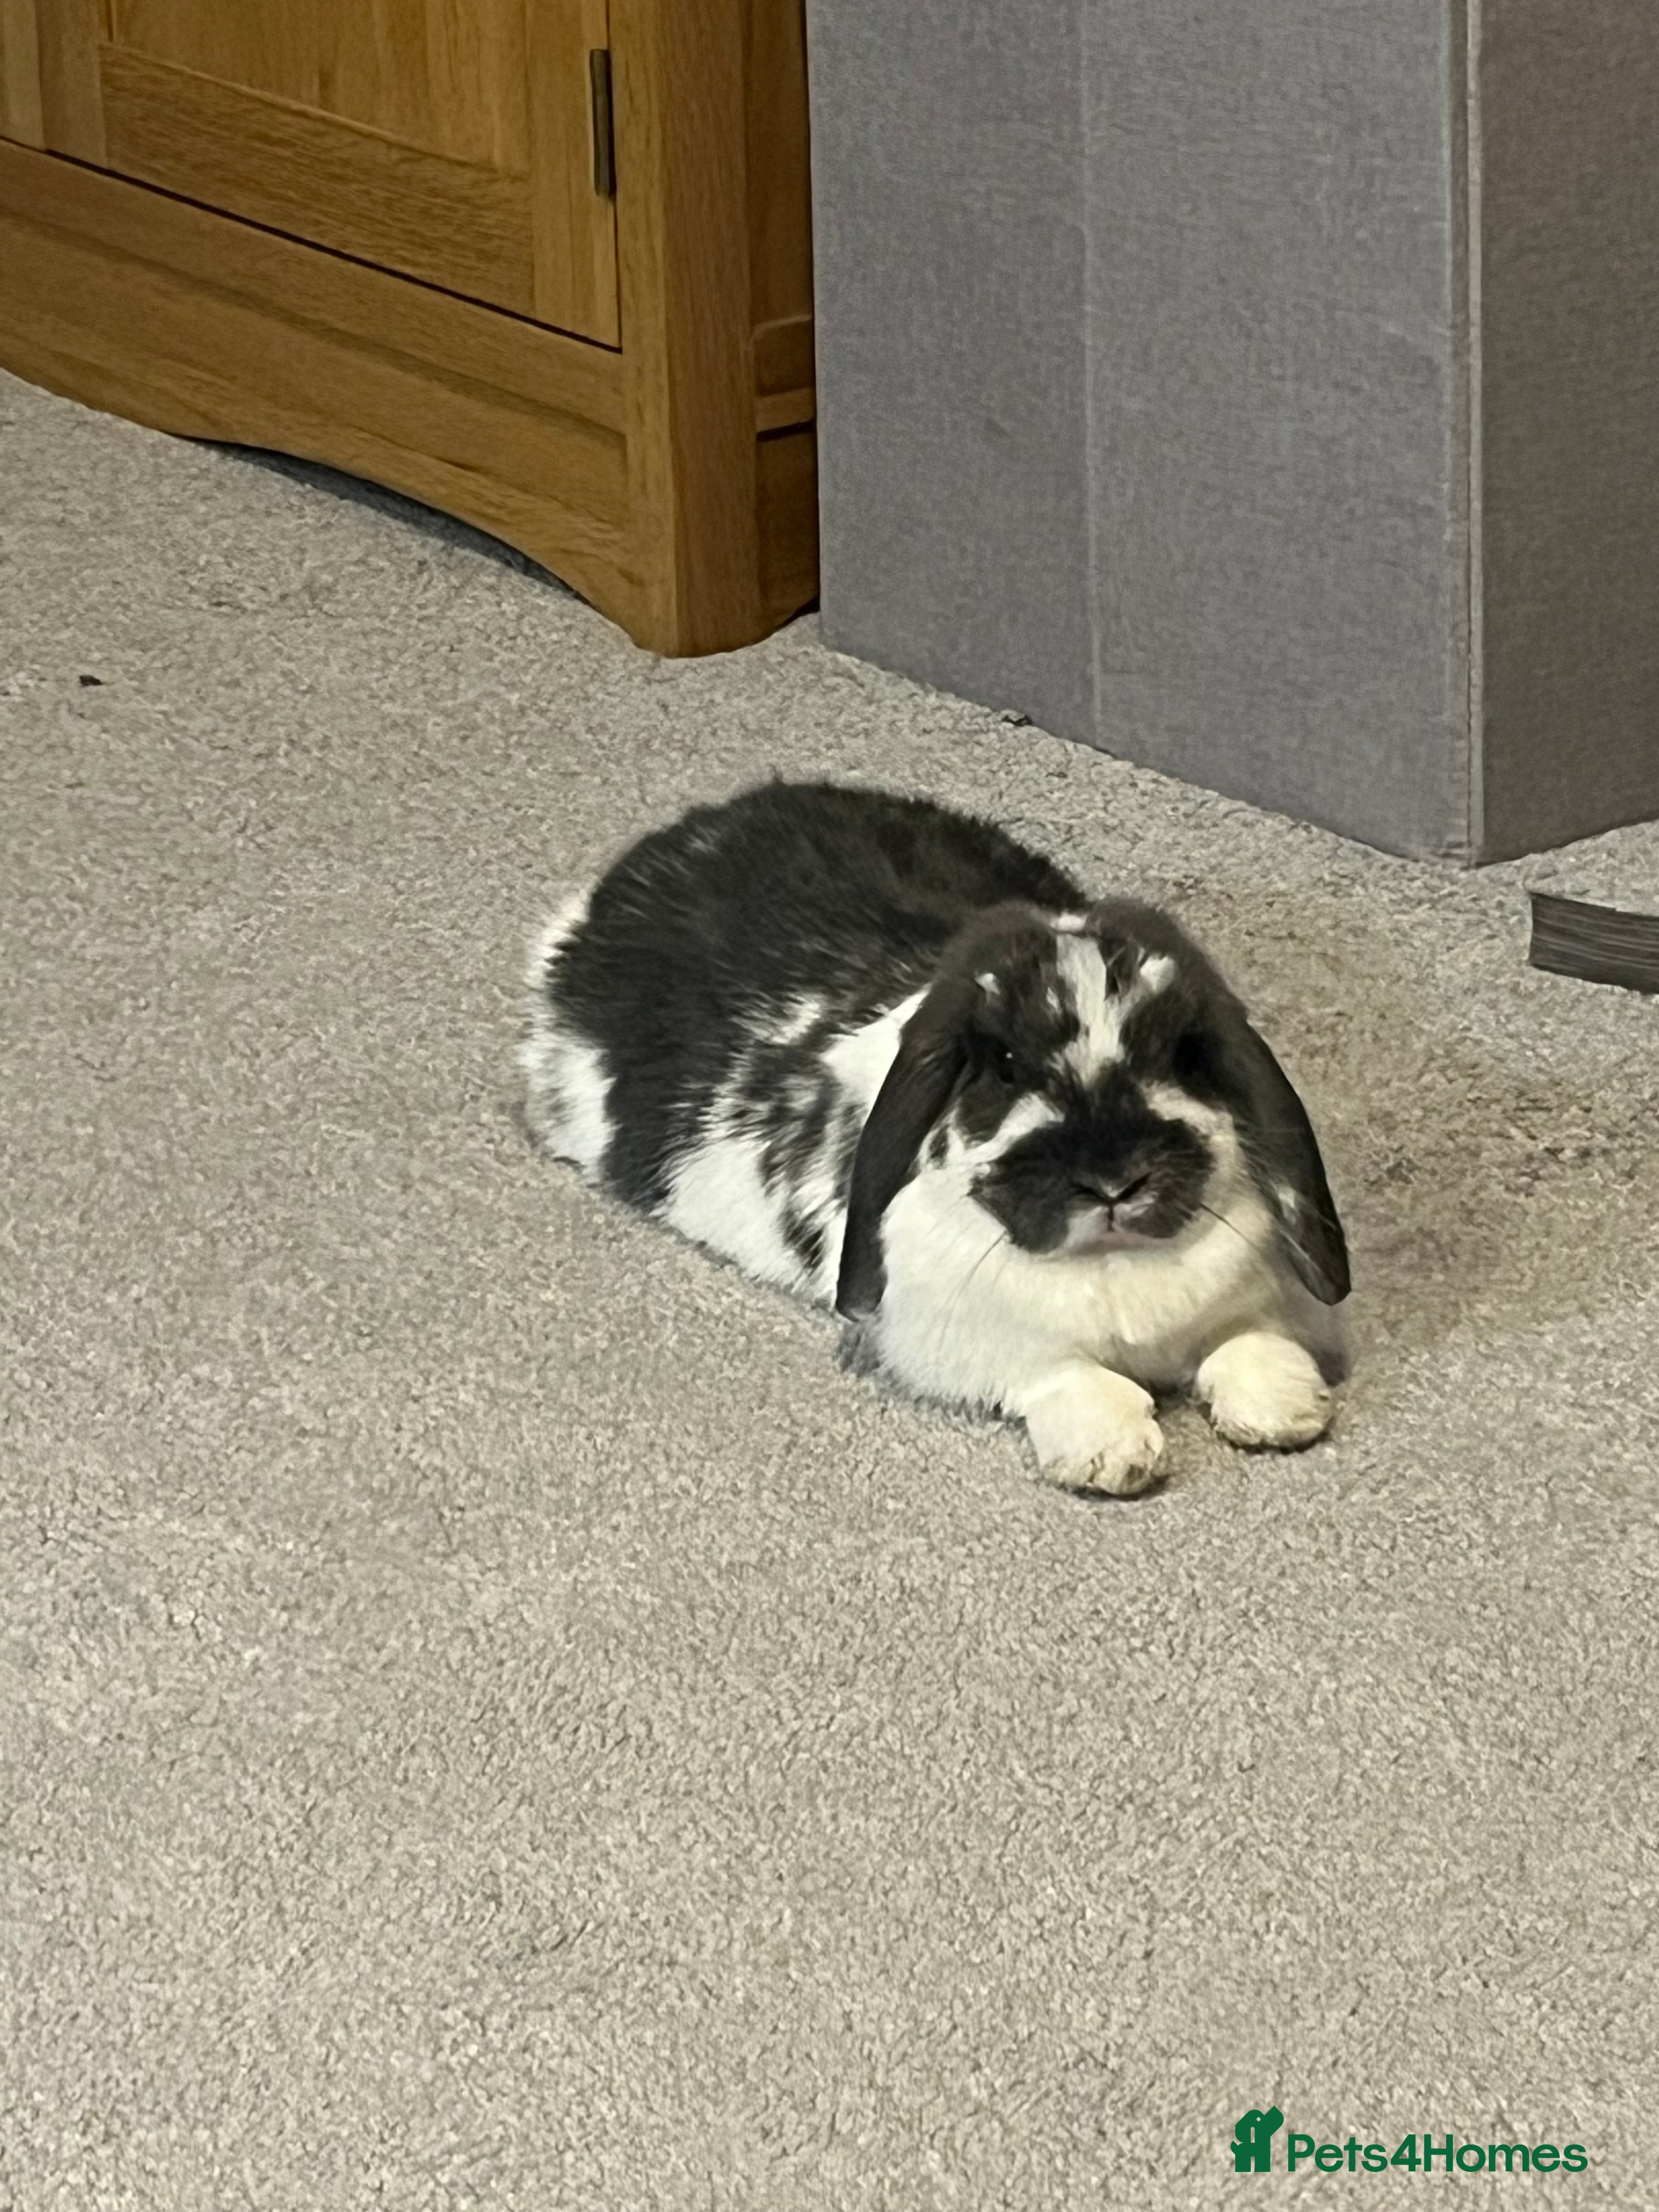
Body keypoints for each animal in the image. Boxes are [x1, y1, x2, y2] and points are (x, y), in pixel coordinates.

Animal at [520, 780, 1350, 1494]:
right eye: (1004, 1063)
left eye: (1180, 1053)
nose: (1115, 1179)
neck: (1111, 1267)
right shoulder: (983, 1347)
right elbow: (1071, 1378)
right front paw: (1114, 1456)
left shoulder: (1253, 1308)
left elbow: (1247, 1347)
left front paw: (1283, 1412)